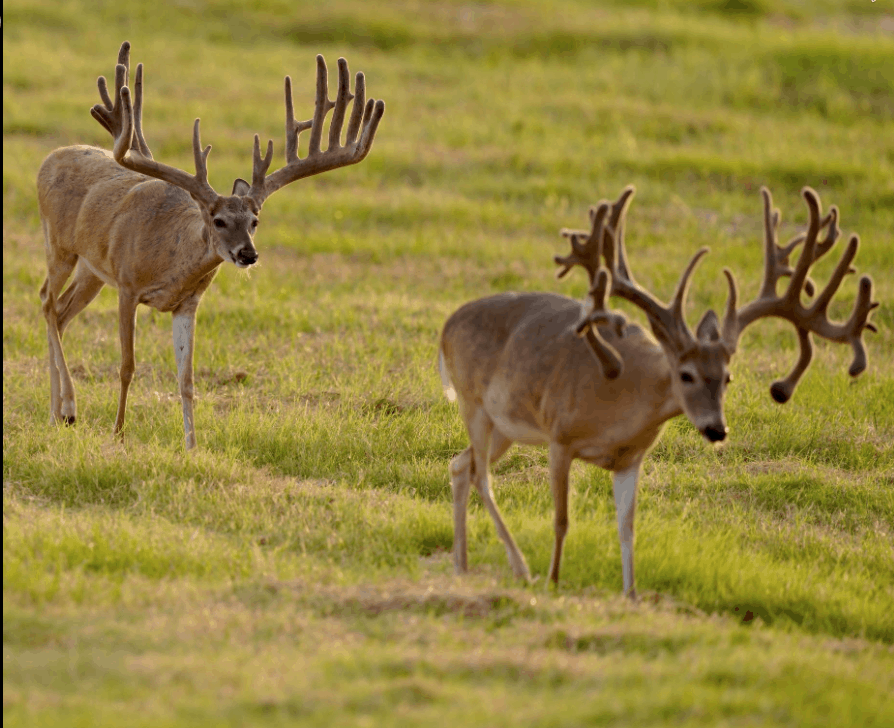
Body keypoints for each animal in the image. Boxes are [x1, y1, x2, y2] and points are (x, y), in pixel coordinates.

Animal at [37, 42, 385, 449]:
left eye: (255, 222)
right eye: (218, 221)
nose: (248, 254)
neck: (172, 263)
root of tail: (50, 158)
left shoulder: (188, 302)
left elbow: (186, 379)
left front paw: (192, 446)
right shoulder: (127, 284)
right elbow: (127, 366)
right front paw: (119, 433)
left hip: (92, 271)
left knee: (61, 312)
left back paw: (57, 411)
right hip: (59, 245)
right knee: (46, 302)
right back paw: (67, 408)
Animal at [439, 184, 878, 598]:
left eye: (728, 377)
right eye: (685, 375)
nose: (717, 429)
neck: (621, 399)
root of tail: (445, 327)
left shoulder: (631, 458)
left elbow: (628, 528)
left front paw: (631, 594)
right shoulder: (560, 436)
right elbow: (562, 519)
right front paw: (553, 581)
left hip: (505, 427)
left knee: (461, 466)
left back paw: (462, 563)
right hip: (474, 404)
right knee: (481, 477)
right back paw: (520, 568)